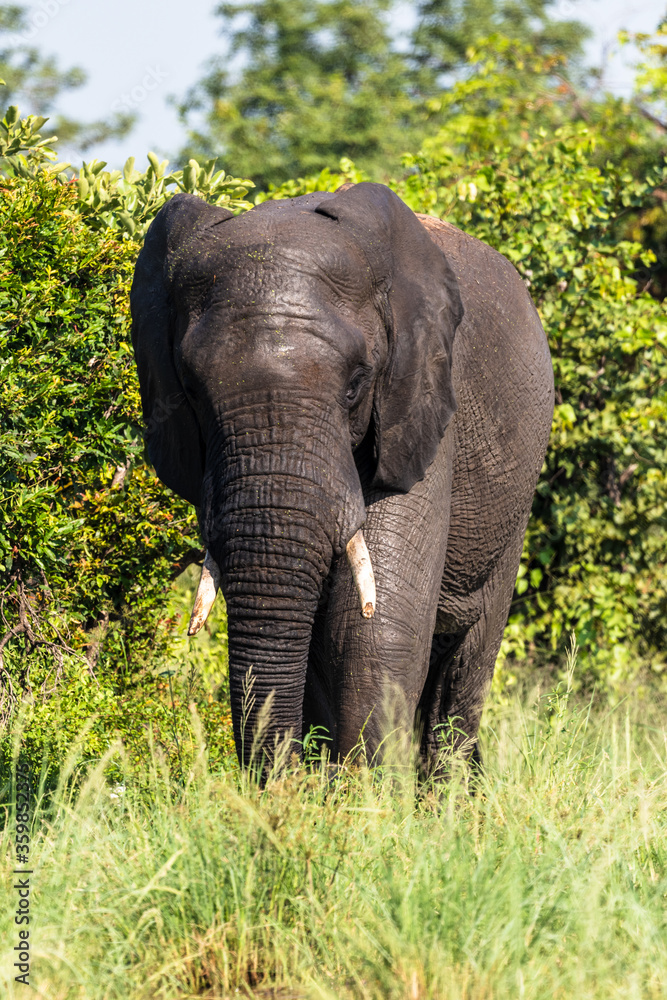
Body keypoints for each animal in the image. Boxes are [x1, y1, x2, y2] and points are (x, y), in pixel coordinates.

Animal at [131, 182, 554, 774]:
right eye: (191, 391)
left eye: (355, 385)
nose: (286, 785)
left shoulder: (420, 400)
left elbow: (371, 632)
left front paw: (366, 798)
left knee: (465, 668)